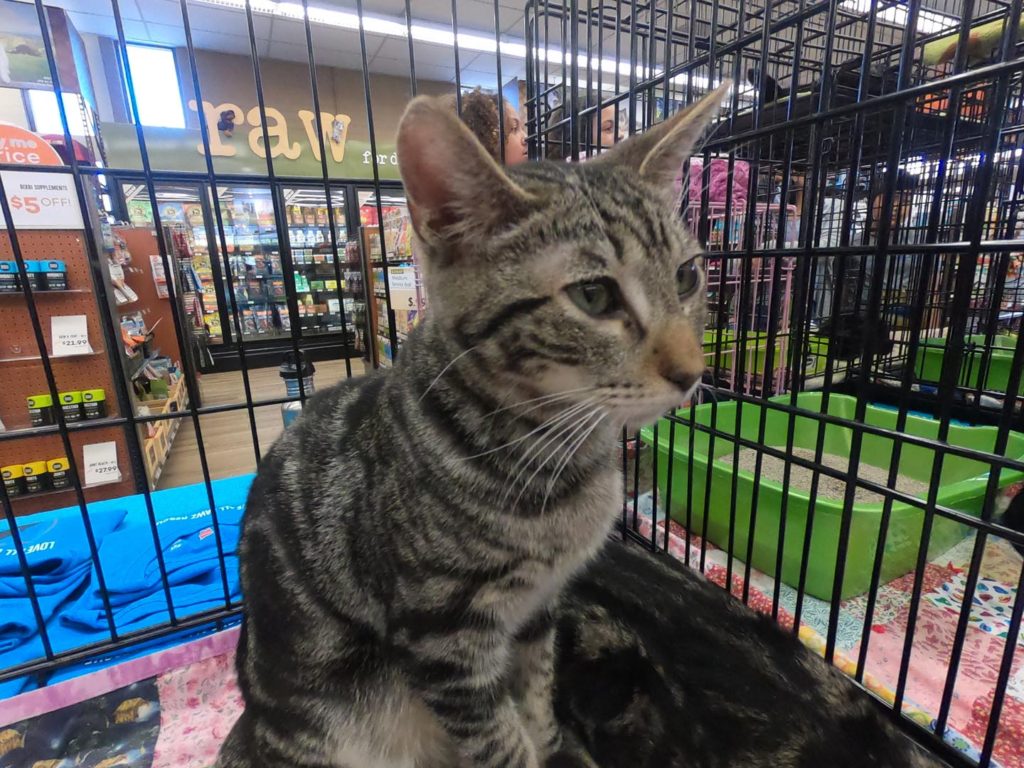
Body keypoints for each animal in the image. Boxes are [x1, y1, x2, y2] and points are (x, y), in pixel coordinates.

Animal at [216, 85, 729, 768]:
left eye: (687, 275)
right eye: (593, 296)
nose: (693, 372)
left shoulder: (538, 611)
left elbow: (536, 700)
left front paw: (555, 745)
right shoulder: (444, 637)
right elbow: (499, 742)